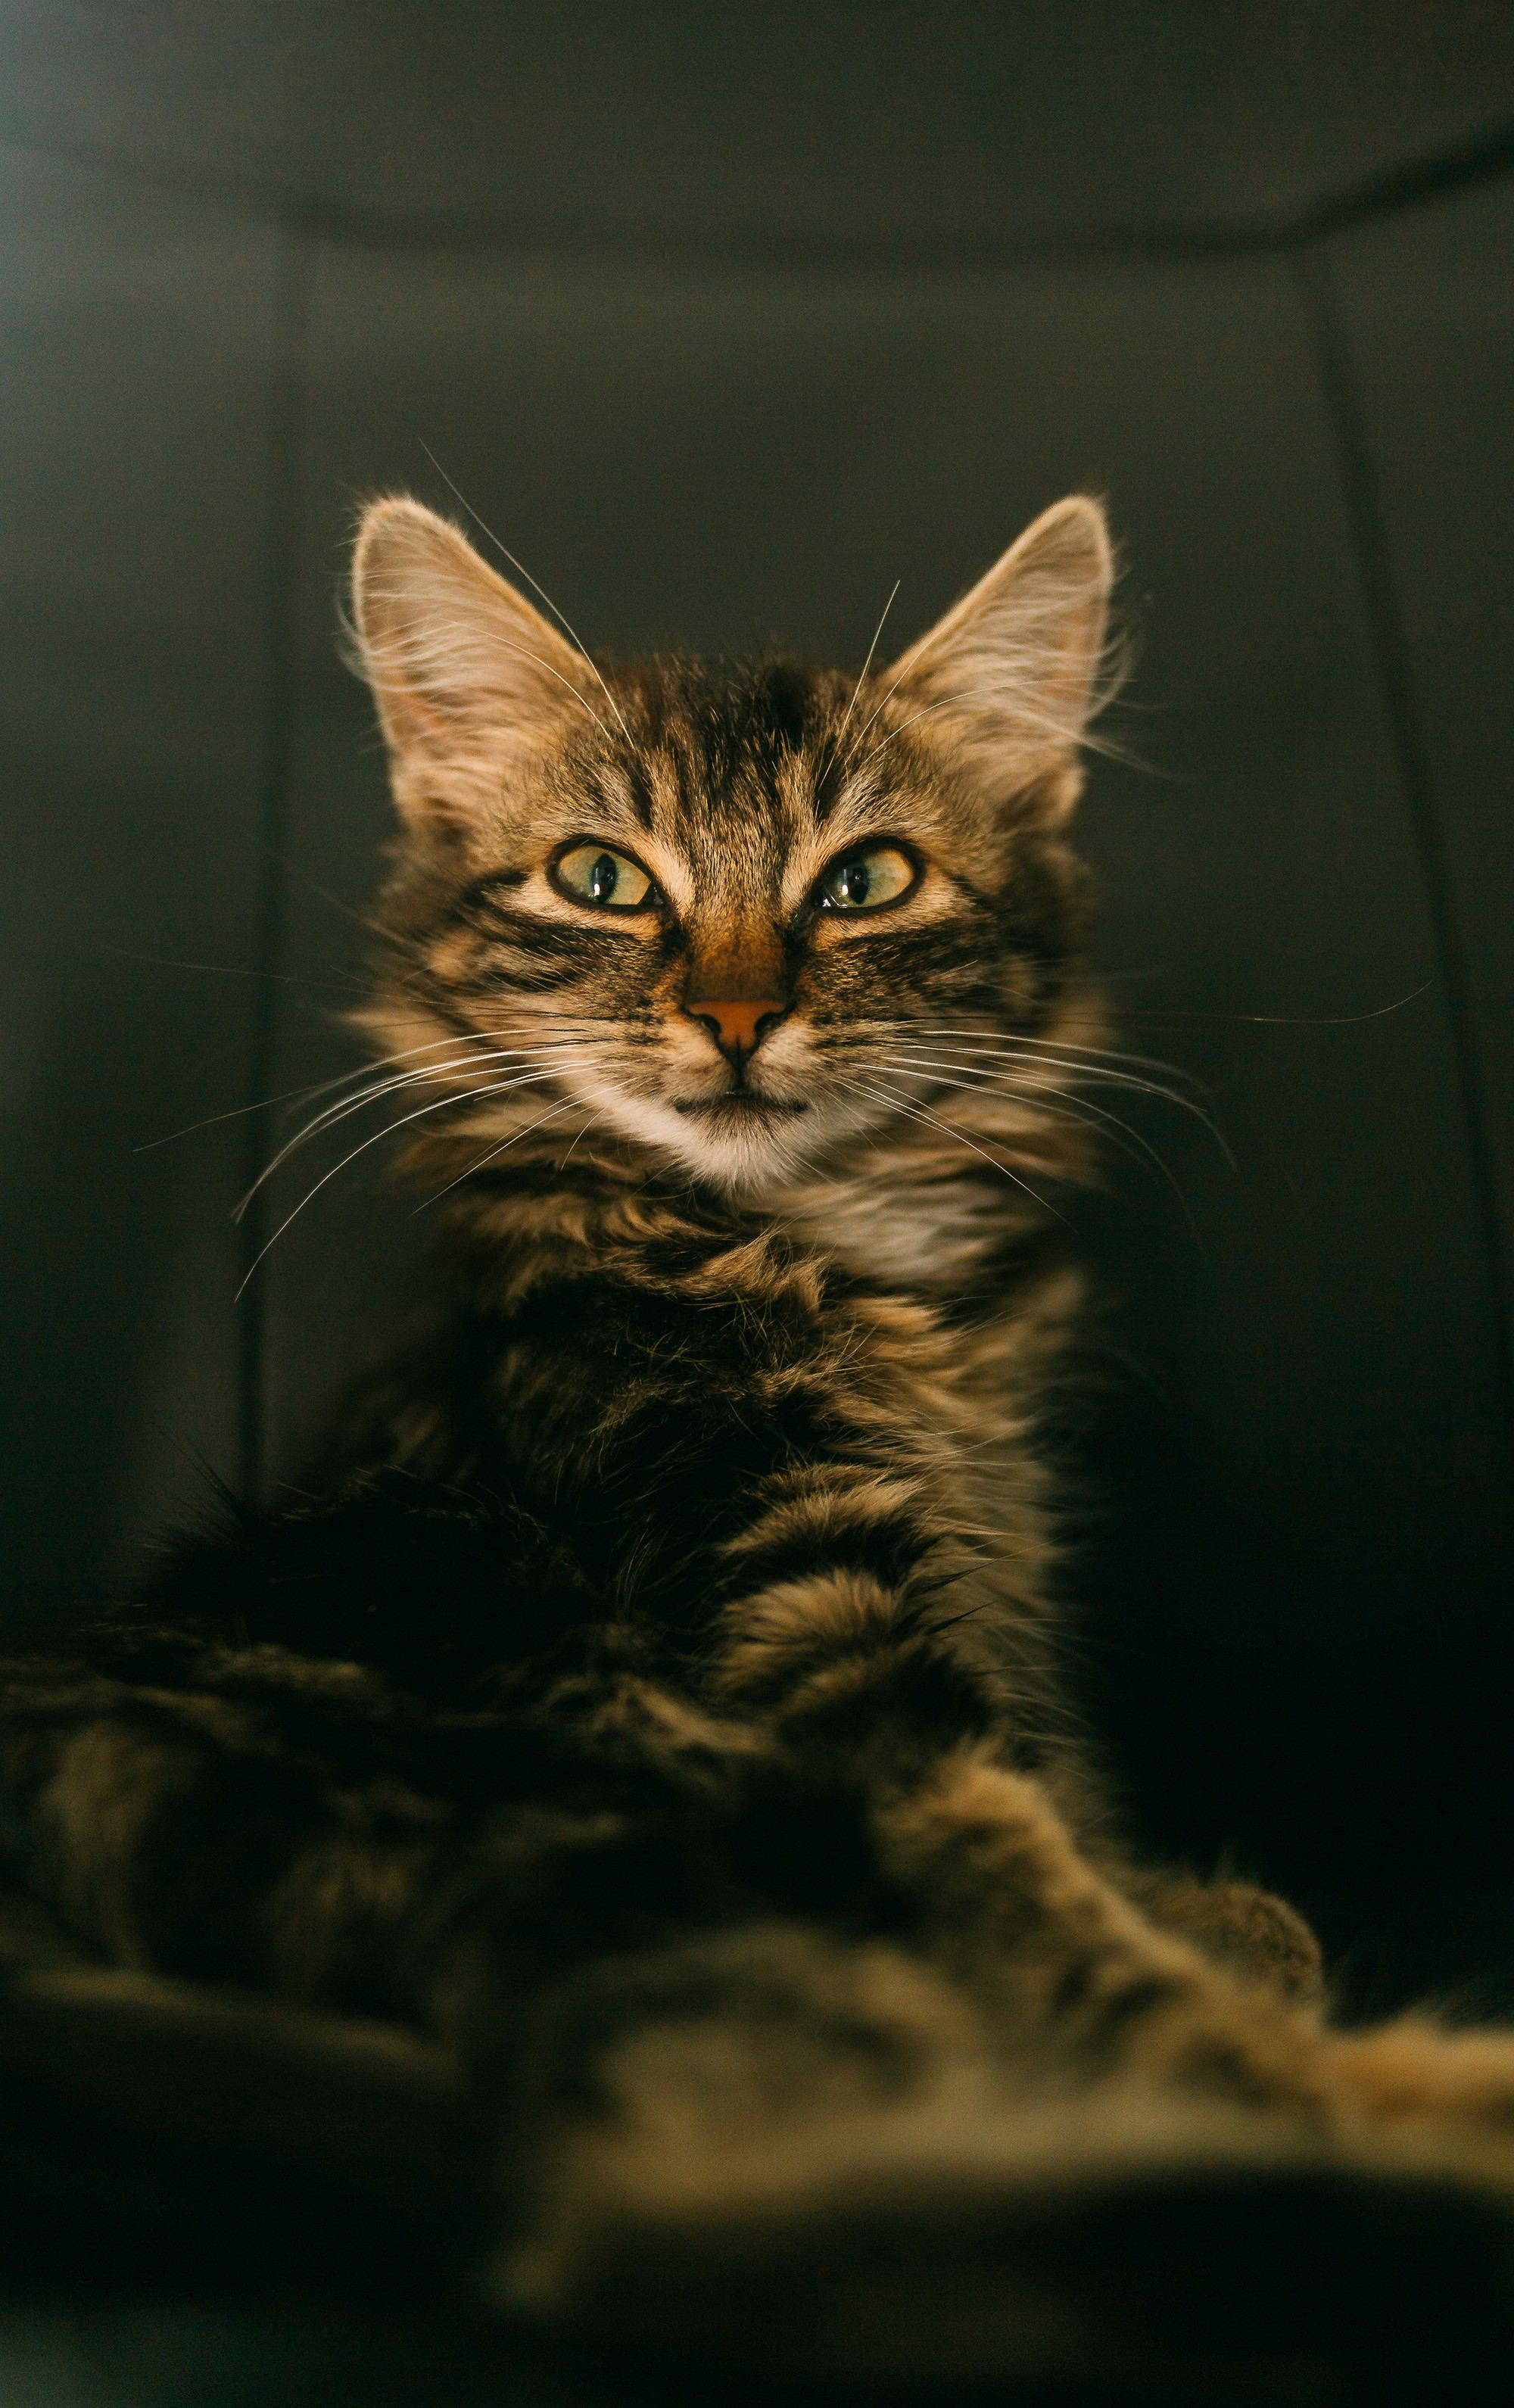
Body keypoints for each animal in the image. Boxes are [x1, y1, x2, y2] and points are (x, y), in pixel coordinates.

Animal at [8, 494, 1511, 2388]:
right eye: (601, 879)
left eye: (863, 882)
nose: (733, 1016)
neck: (823, 1251)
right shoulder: (828, 1663)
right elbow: (1061, 1918)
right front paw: (1227, 1972)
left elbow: (1070, 1820)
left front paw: (1209, 1903)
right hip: (602, 1832)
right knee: (701, 2211)